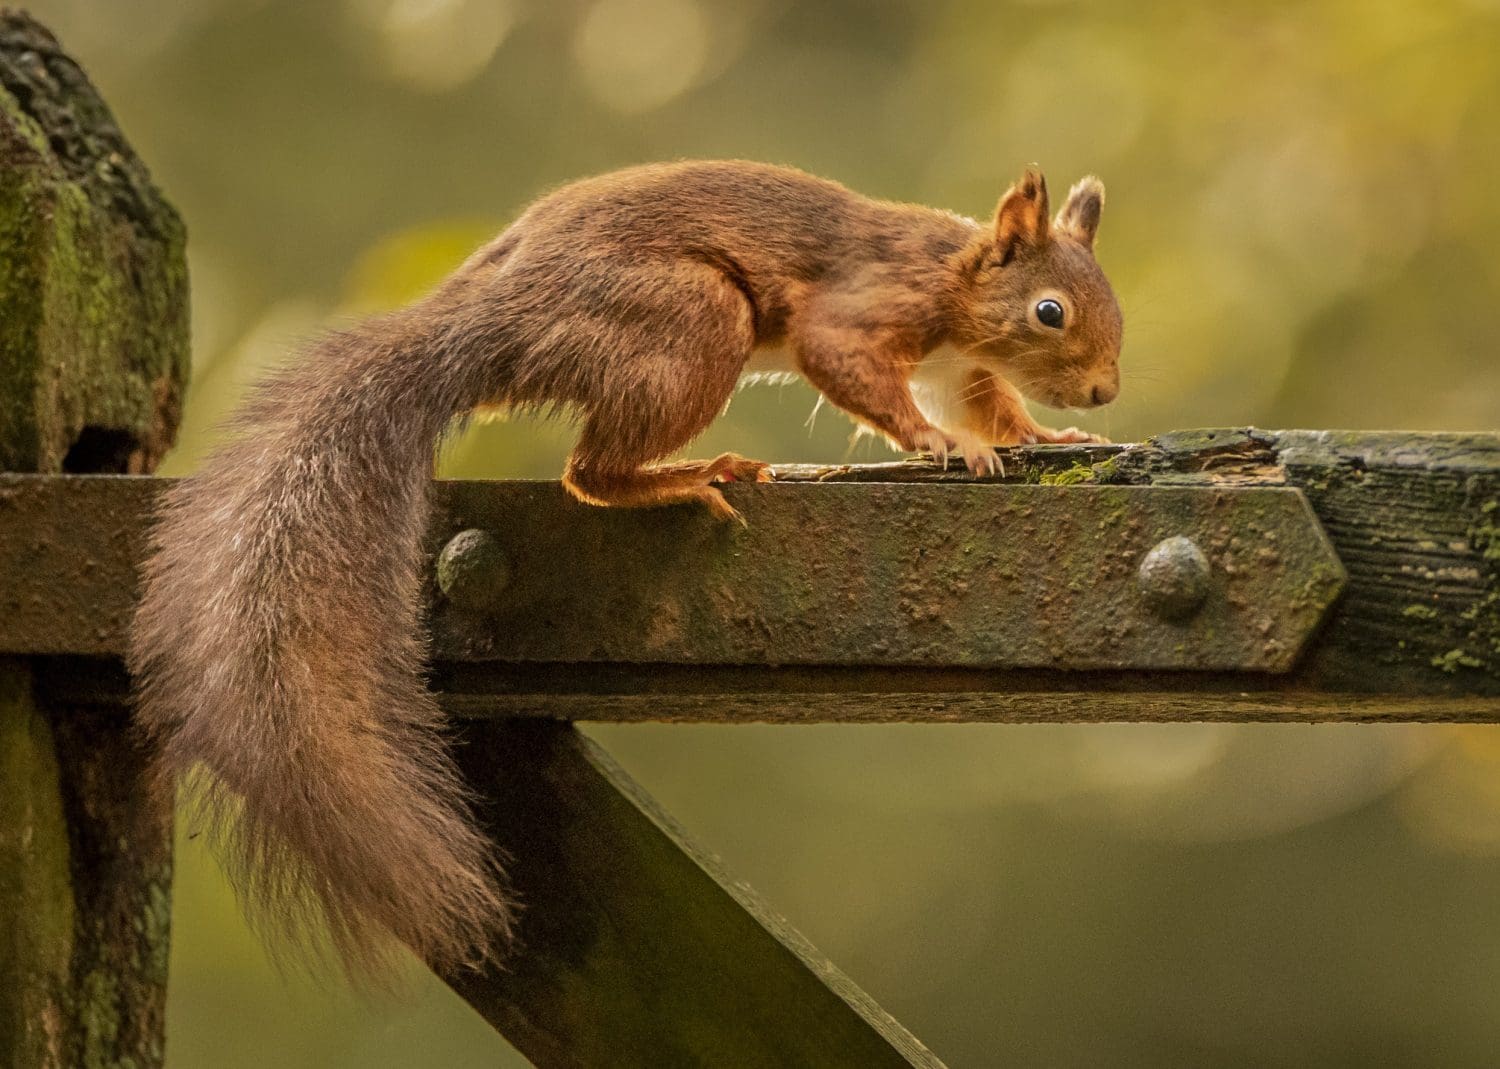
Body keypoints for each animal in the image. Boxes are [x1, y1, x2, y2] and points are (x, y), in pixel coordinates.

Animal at [128, 160, 1123, 980]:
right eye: (1050, 311)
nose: (1107, 389)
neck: (954, 274)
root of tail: (485, 325)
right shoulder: (869, 304)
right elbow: (846, 360)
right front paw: (941, 442)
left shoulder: (960, 363)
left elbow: (989, 402)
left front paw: (1044, 434)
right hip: (690, 319)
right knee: (589, 473)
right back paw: (692, 474)